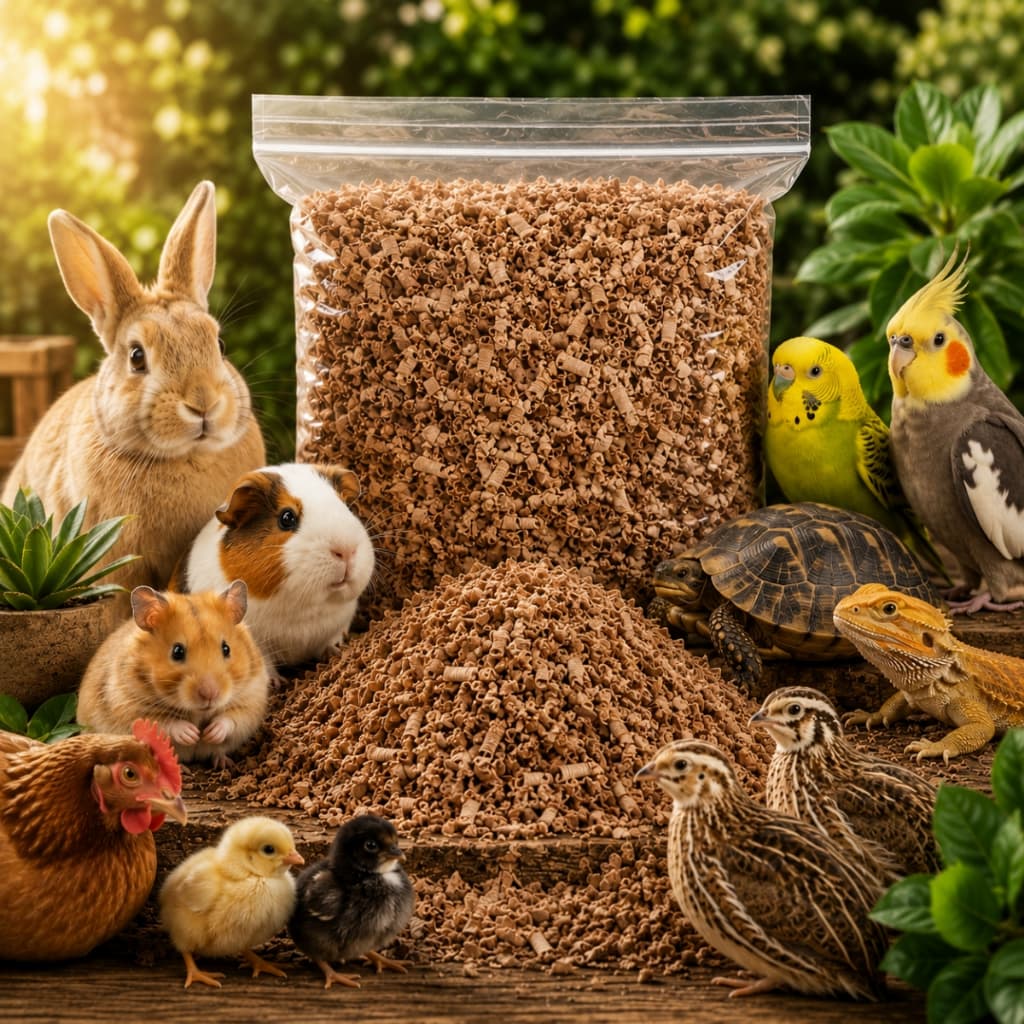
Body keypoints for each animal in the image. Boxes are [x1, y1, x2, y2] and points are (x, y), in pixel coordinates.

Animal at [170, 462, 376, 677]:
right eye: (287, 518)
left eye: (346, 507)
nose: (346, 551)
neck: (303, 611)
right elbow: (266, 664)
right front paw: (278, 681)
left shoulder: (338, 626)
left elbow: (331, 642)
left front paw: (335, 652)